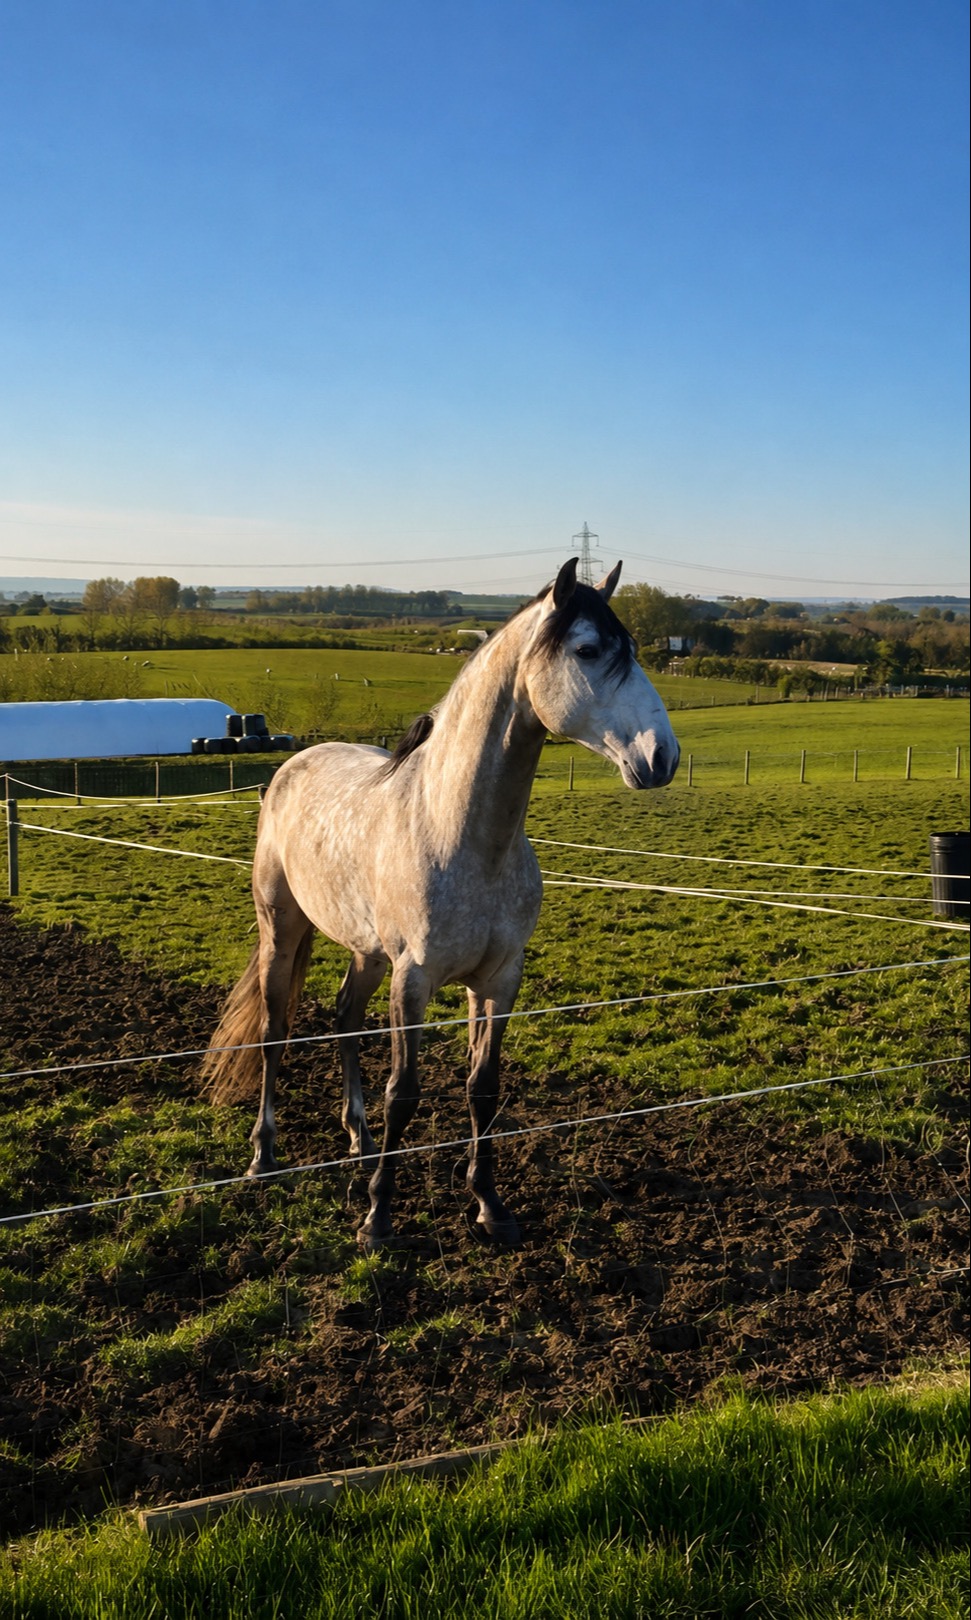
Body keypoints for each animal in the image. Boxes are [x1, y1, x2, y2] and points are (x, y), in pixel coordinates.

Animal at [201, 558, 679, 1249]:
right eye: (588, 650)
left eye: (636, 651)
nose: (660, 756)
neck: (462, 834)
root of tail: (286, 769)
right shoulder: (415, 978)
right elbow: (404, 1092)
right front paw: (378, 1219)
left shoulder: (499, 980)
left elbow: (483, 1087)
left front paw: (489, 1205)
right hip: (281, 931)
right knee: (273, 1034)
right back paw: (264, 1155)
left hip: (367, 952)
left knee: (344, 1017)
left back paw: (358, 1138)